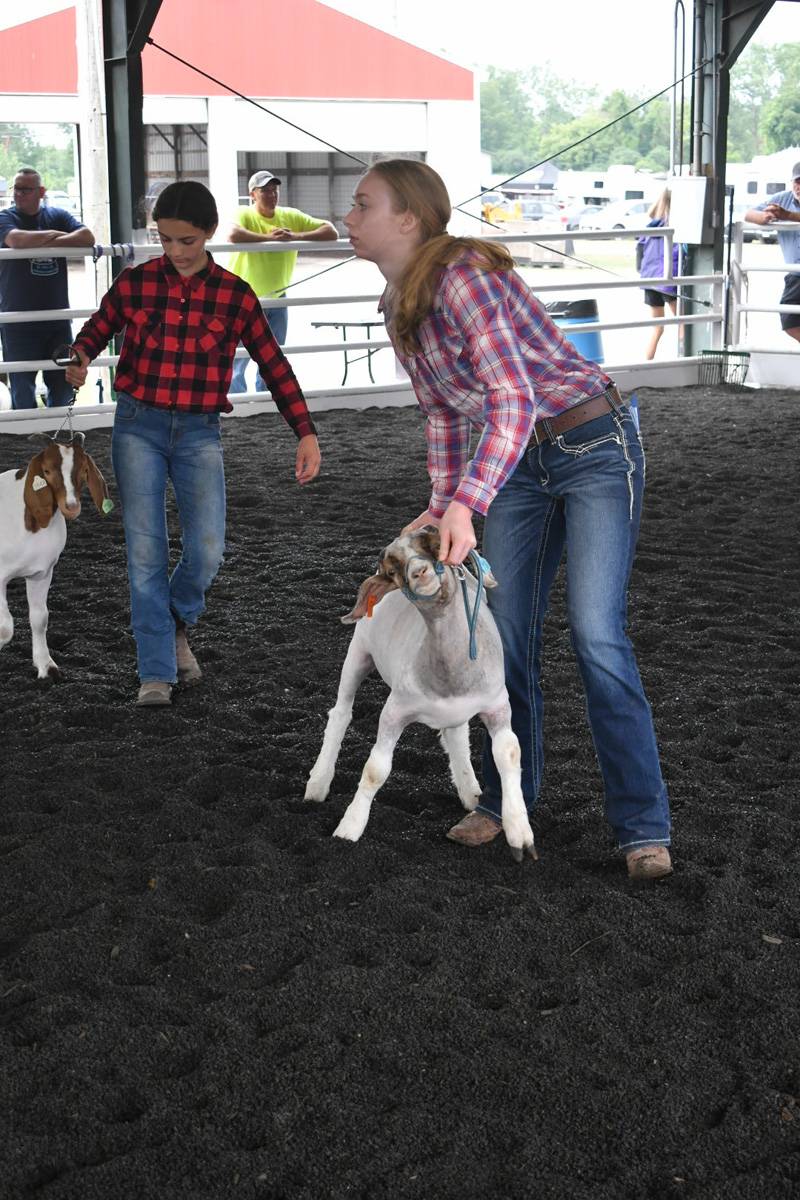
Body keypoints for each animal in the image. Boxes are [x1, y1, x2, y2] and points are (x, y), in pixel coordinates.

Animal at [0, 441, 110, 681]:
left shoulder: (41, 573)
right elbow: (5, 627)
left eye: (84, 469)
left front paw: (46, 666)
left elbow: (40, 619)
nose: (71, 506)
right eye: (47, 471)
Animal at [307, 530, 537, 859]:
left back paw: (470, 791)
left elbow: (509, 754)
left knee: (455, 736)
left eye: (434, 548)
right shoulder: (394, 711)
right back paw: (318, 782)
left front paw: (519, 829)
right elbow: (375, 770)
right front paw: (349, 827)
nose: (420, 572)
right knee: (340, 714)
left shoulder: (498, 707)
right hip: (359, 652)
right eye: (392, 571)